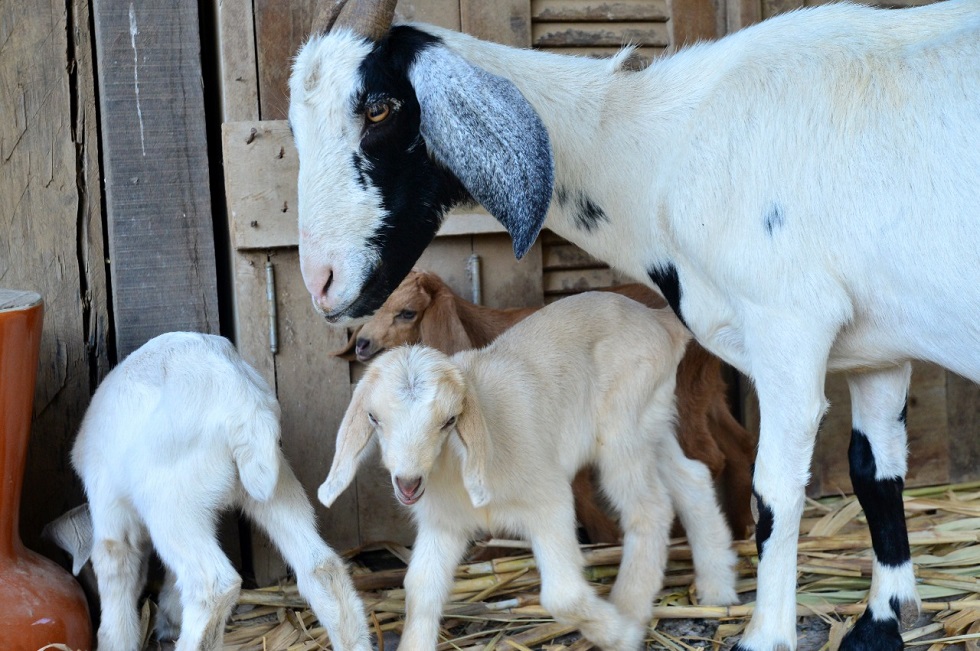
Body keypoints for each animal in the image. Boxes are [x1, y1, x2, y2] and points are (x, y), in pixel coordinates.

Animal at [70, 332, 370, 651]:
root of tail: (241, 399)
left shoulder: (109, 505)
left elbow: (114, 566)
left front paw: (114, 641)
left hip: (170, 504)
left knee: (212, 586)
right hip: (275, 483)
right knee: (321, 566)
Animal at [319, 292, 738, 650]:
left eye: (449, 421)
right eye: (373, 418)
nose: (408, 484)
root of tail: (659, 321)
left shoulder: (549, 501)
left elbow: (563, 595)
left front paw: (619, 632)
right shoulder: (444, 523)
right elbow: (420, 587)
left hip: (624, 428)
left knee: (649, 509)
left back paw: (631, 614)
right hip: (651, 419)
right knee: (692, 477)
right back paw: (718, 588)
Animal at [334, 269, 756, 539]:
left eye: (407, 312)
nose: (362, 345)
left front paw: (604, 536)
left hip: (677, 395)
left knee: (707, 456)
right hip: (707, 391)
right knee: (739, 445)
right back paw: (739, 529)